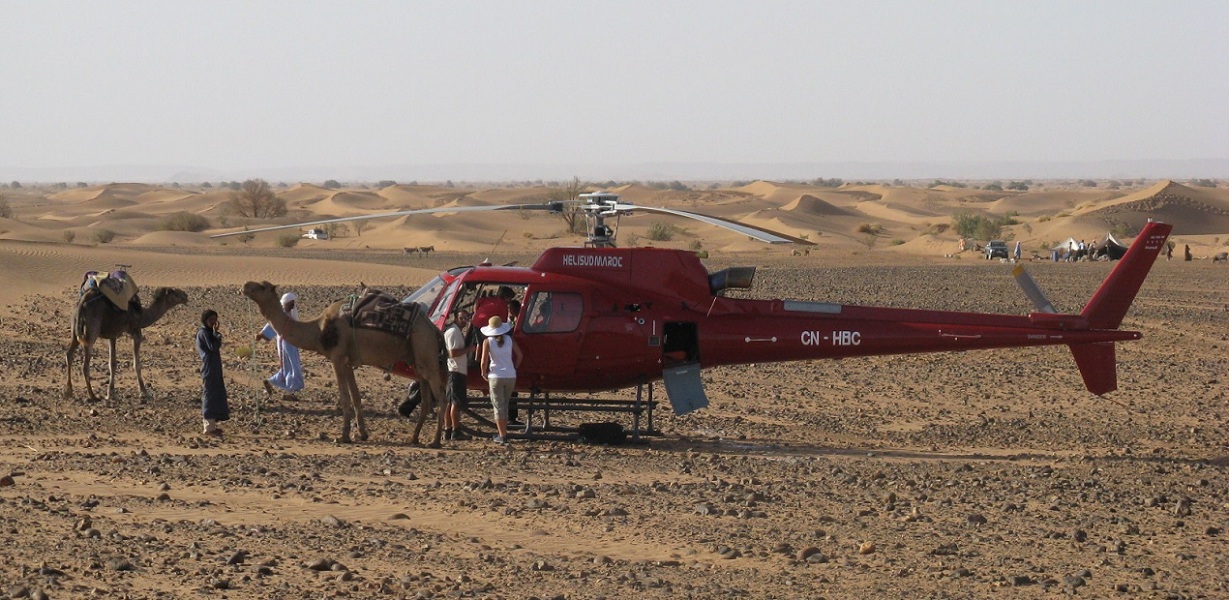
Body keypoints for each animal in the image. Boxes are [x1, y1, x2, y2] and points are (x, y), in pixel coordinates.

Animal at [239, 281, 447, 445]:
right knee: (426, 400)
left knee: (442, 399)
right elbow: (355, 397)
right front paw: (362, 434)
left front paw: (343, 436)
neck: (319, 330)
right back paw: (414, 438)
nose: (245, 286)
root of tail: (434, 330)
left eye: (262, 286)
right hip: (418, 360)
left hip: (425, 348)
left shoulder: (337, 358)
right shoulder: (348, 362)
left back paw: (435, 441)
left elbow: (344, 397)